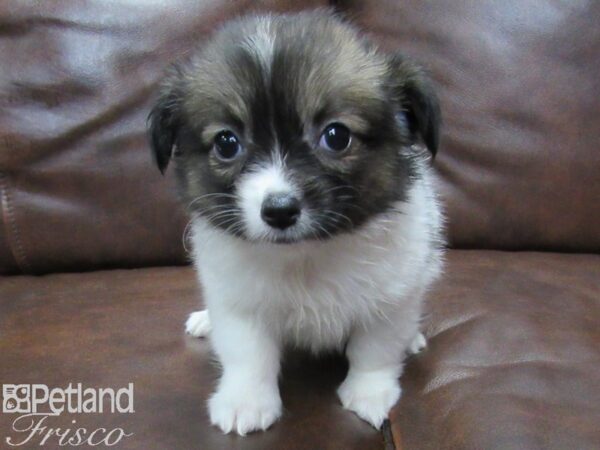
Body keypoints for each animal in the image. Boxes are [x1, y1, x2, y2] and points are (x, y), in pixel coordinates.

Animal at [148, 10, 442, 436]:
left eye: (336, 136)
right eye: (226, 143)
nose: (280, 210)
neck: (305, 256)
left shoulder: (392, 297)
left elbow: (375, 350)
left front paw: (369, 394)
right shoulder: (238, 302)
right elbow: (248, 355)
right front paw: (246, 401)